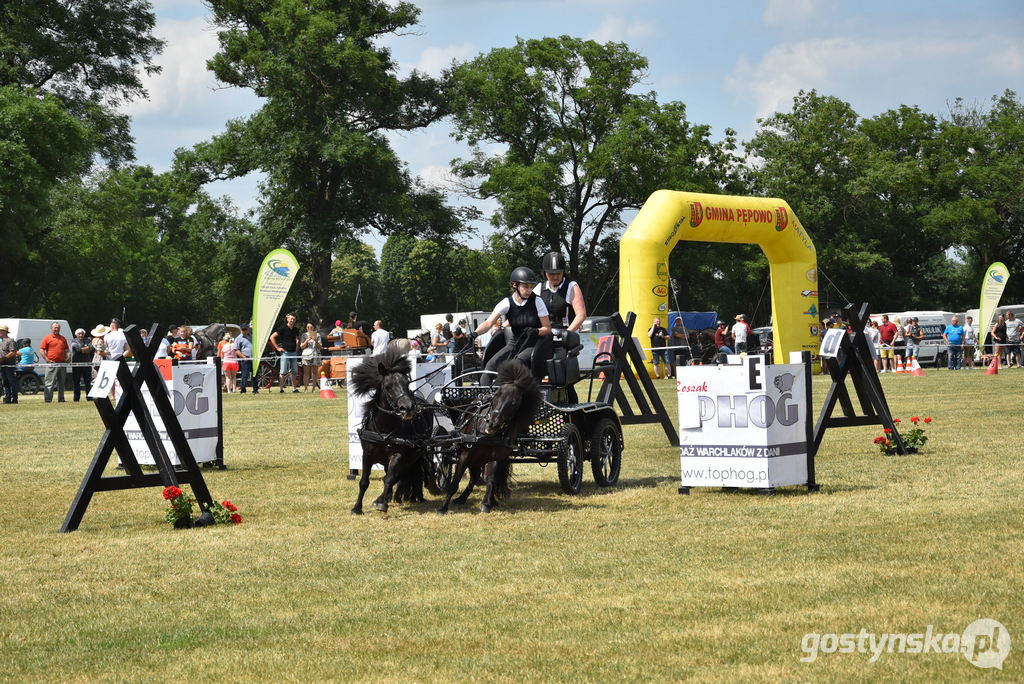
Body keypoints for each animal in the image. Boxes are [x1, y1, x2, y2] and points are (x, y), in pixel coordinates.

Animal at [348, 348, 428, 511]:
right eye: (388, 386)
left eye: (407, 383)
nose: (408, 408)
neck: (383, 431)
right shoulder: (367, 455)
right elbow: (364, 481)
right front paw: (357, 508)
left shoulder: (398, 455)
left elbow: (390, 478)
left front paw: (382, 503)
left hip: (413, 457)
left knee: (403, 475)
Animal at [438, 358, 544, 511]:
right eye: (497, 394)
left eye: (515, 403)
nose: (492, 424)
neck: (485, 436)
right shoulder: (465, 454)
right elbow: (456, 480)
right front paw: (443, 507)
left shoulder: (495, 457)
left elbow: (491, 479)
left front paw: (487, 503)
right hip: (474, 459)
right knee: (474, 476)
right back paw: (461, 498)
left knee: (479, 476)